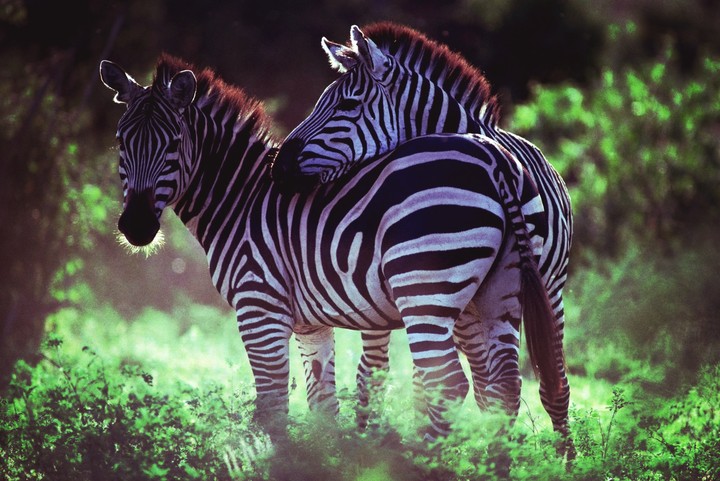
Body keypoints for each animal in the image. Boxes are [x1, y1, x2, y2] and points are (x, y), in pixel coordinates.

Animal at [99, 54, 561, 440]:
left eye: (173, 143)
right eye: (121, 141)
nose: (136, 227)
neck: (240, 199)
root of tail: (494, 156)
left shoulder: (259, 307)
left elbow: (271, 407)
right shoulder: (310, 325)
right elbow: (322, 405)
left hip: (425, 289)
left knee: (447, 382)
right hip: (500, 292)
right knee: (503, 387)